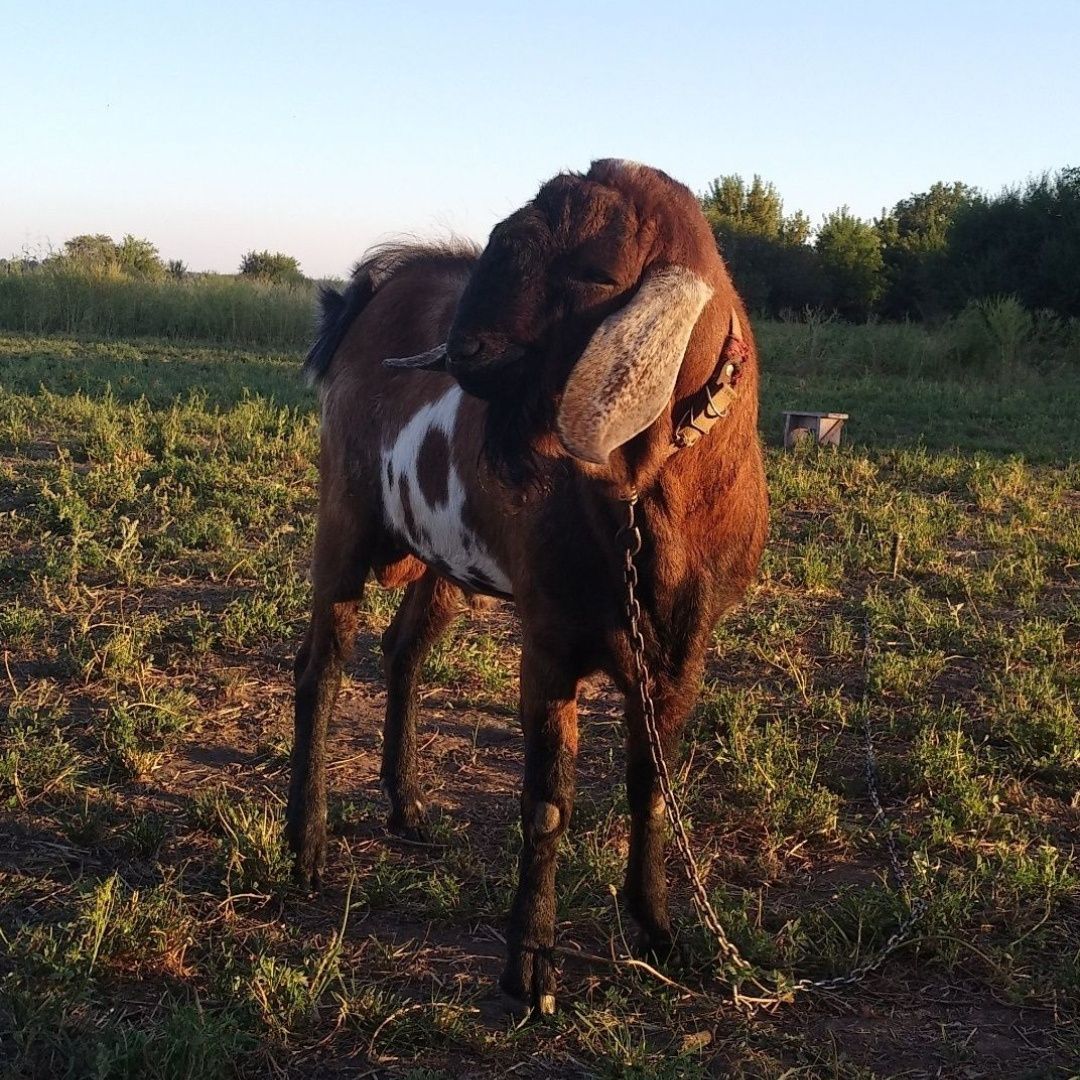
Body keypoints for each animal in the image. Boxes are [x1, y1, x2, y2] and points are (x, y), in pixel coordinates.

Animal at [289, 157, 768, 1010]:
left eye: (598, 272)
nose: (464, 349)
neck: (643, 505)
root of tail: (371, 293)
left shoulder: (681, 658)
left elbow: (651, 784)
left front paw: (658, 928)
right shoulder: (549, 642)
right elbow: (548, 804)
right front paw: (532, 967)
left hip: (443, 559)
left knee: (404, 649)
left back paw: (407, 804)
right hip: (344, 518)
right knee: (322, 666)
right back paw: (306, 845)